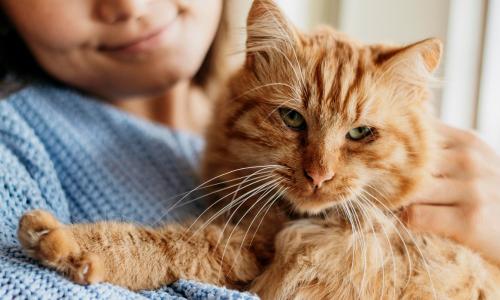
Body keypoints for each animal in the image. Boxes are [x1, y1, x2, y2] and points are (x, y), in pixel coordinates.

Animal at [15, 1, 500, 298]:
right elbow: (165, 246)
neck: (296, 220)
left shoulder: (254, 243)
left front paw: (66, 244)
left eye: (360, 133)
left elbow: (158, 244)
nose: (318, 176)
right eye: (292, 119)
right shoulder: (248, 240)